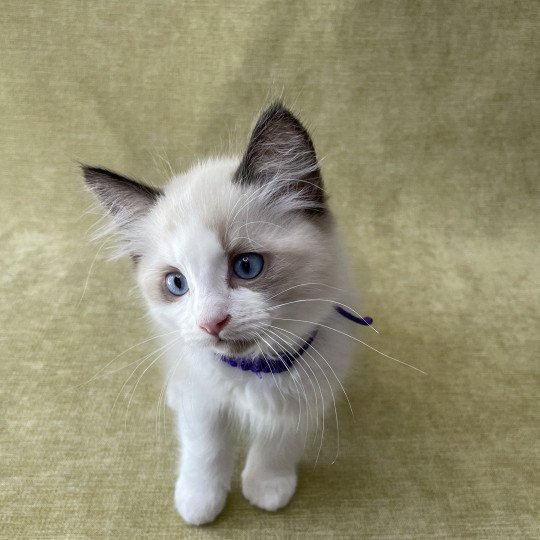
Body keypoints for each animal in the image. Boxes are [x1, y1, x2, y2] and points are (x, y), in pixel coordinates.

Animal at [82, 103, 370, 524]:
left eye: (247, 266)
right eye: (177, 284)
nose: (211, 323)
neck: (255, 370)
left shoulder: (304, 396)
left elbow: (277, 443)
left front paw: (267, 488)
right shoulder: (202, 398)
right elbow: (205, 448)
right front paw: (200, 501)